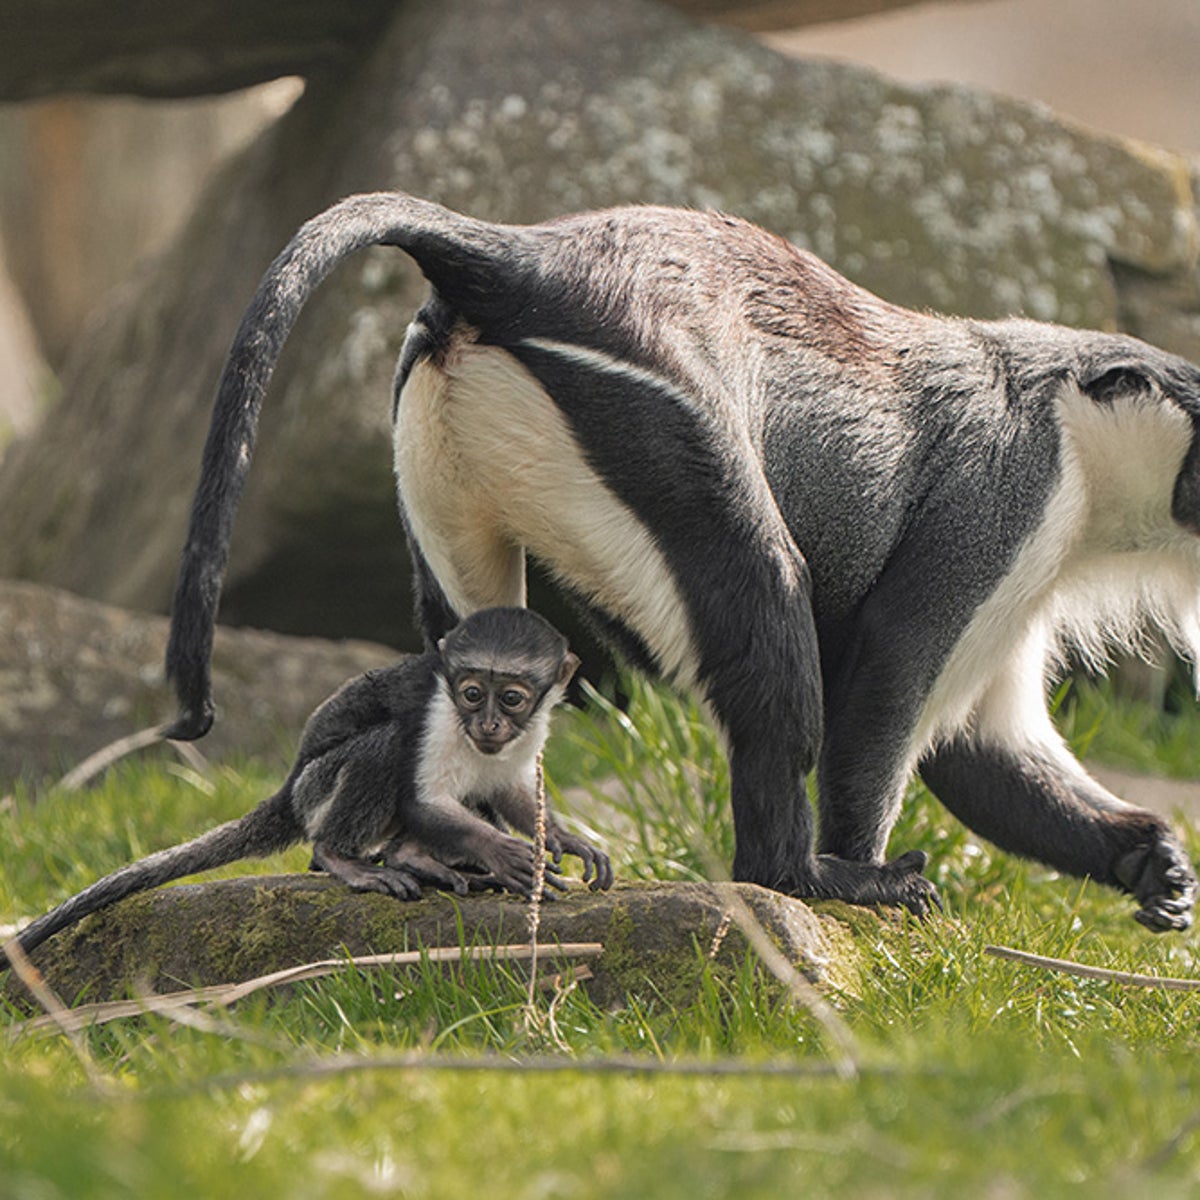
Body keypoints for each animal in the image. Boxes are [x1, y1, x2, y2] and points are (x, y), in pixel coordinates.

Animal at [6, 607, 612, 962]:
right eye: (469, 693)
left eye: (509, 698)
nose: (487, 725)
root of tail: (289, 787)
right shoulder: (435, 714)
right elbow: (421, 797)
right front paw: (506, 854)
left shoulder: (528, 732)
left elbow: (511, 791)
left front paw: (566, 840)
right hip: (318, 788)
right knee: (380, 749)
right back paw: (354, 858)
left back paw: (418, 857)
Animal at [162, 191, 1198, 930]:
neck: (1073, 424)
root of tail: (518, 258)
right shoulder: (1003, 502)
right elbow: (889, 684)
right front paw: (867, 873)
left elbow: (981, 746)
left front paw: (1150, 859)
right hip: (659, 423)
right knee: (767, 612)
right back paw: (804, 878)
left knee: (459, 647)